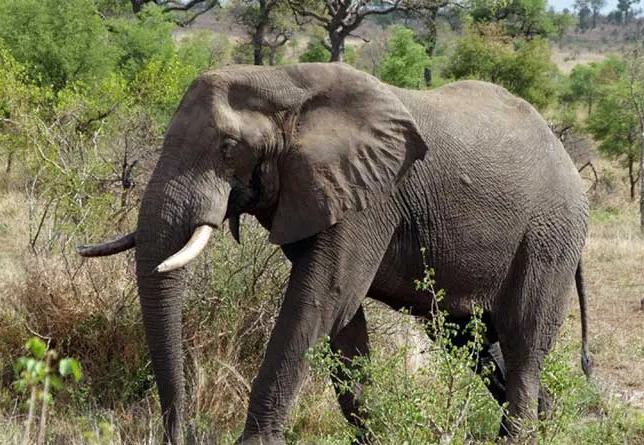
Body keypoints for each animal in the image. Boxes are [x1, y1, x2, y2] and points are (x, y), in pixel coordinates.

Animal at [78, 62, 591, 445]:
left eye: (228, 148)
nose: (177, 436)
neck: (286, 83)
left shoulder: (372, 196)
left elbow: (322, 299)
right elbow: (343, 321)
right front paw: (379, 436)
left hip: (549, 236)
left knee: (524, 338)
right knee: (475, 342)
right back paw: (547, 422)